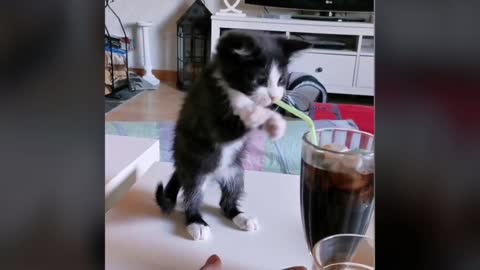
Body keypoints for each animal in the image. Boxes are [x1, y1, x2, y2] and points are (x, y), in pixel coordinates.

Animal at [156, 30, 310, 240]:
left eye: (281, 80)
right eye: (259, 80)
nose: (274, 97)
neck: (232, 89)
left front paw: (273, 121)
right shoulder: (208, 109)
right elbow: (227, 129)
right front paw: (260, 115)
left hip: (235, 171)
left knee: (227, 200)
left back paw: (241, 217)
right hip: (195, 171)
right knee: (192, 196)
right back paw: (196, 222)